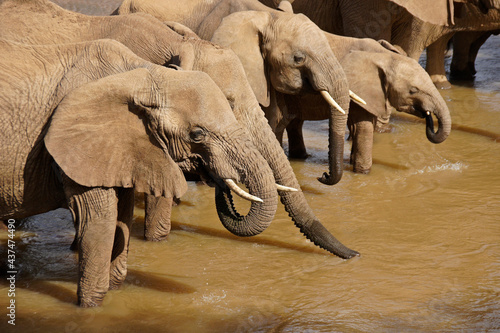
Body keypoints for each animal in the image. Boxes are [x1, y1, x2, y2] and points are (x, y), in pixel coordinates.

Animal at [0, 37, 282, 304]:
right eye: (197, 135)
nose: (217, 177)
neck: (145, 76)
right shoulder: (78, 147)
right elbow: (100, 223)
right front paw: (89, 306)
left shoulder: (118, 152)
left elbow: (121, 219)